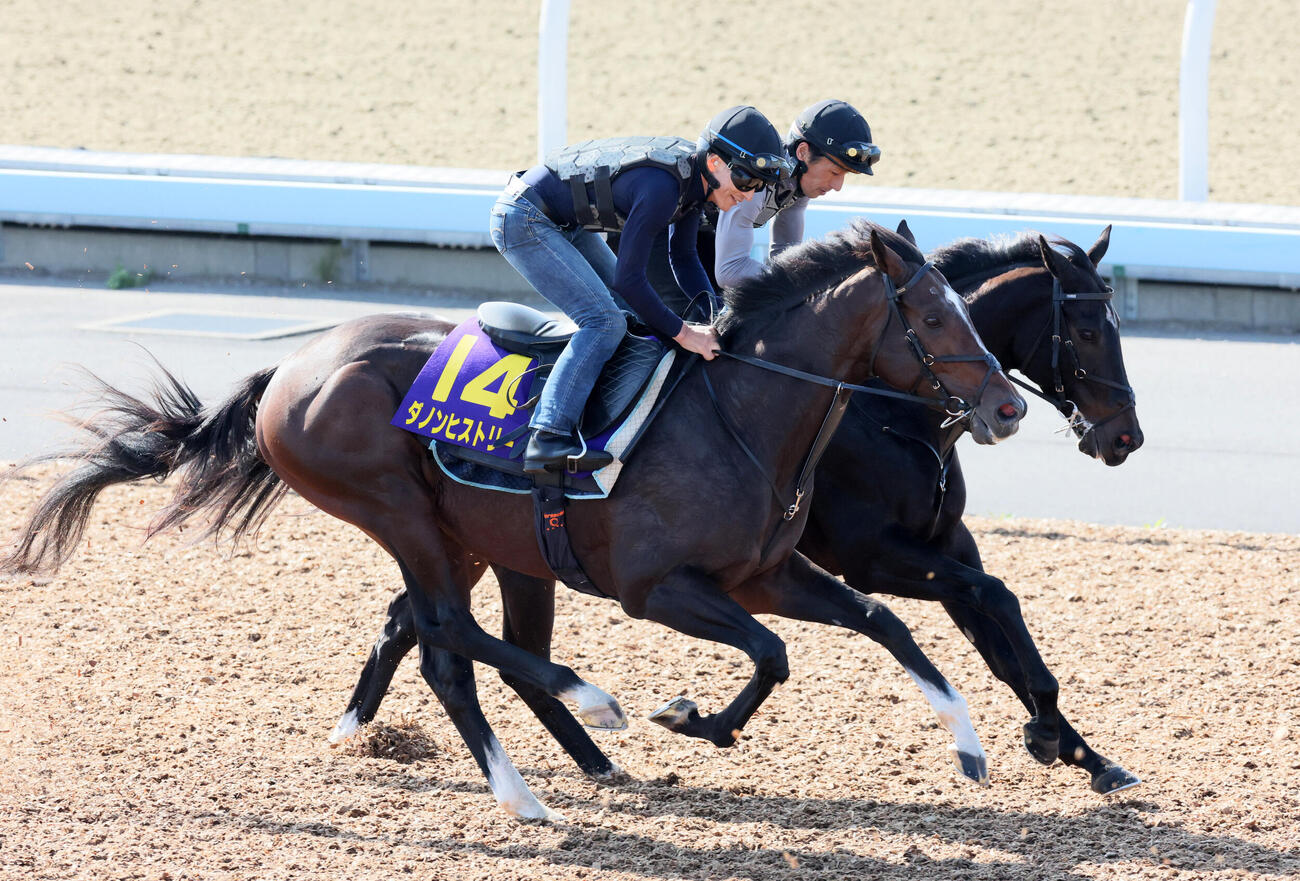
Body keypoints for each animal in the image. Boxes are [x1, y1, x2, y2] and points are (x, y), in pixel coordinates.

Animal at [1, 220, 1026, 821]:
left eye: (965, 305)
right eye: (934, 313)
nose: (1009, 406)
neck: (740, 411)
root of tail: (292, 369)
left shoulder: (768, 572)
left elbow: (881, 622)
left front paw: (970, 744)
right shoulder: (658, 588)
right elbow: (773, 653)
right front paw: (693, 717)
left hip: (489, 542)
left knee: (459, 635)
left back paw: (578, 753)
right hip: (400, 512)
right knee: (449, 641)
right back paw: (553, 753)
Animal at [332, 224, 1144, 796]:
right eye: (1087, 329)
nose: (1126, 435)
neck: (892, 414)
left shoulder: (942, 544)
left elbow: (999, 628)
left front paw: (1076, 747)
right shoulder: (877, 555)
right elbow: (992, 602)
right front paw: (1051, 735)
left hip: (482, 543)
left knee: (411, 619)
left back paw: (365, 730)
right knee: (425, 622)